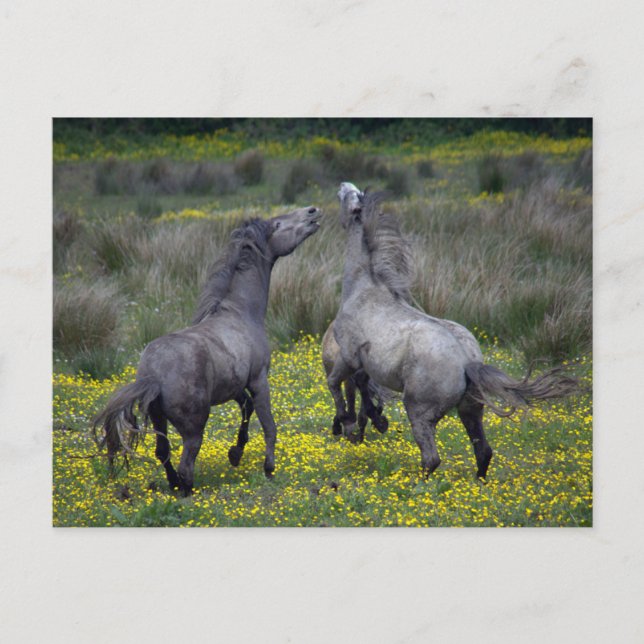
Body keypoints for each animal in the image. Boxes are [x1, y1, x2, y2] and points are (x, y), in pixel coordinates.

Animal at [94, 206, 322, 495]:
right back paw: (186, 490)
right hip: (194, 427)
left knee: (163, 452)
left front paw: (235, 453)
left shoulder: (235, 387)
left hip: (159, 419)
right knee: (186, 464)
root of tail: (153, 375)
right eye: (278, 224)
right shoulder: (259, 380)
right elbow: (269, 425)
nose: (312, 212)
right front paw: (269, 468)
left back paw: (174, 485)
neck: (240, 313)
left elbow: (246, 409)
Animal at [330, 183, 577, 478]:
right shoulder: (363, 362)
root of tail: (466, 363)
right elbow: (362, 385)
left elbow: (336, 384)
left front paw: (349, 423)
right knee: (483, 451)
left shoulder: (348, 355)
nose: (342, 185)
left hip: (420, 411)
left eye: (348, 196)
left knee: (431, 458)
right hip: (470, 409)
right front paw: (372, 420)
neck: (363, 289)